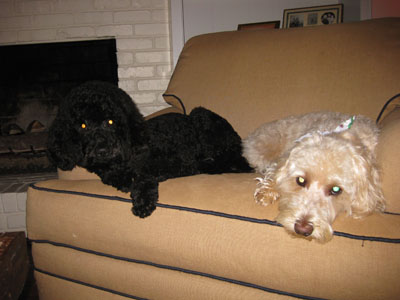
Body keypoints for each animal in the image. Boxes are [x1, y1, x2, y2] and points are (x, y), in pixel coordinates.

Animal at [48, 82, 252, 217]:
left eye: (111, 121)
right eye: (82, 126)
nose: (102, 150)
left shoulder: (176, 162)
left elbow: (143, 176)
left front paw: (143, 201)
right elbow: (117, 178)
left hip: (201, 116)